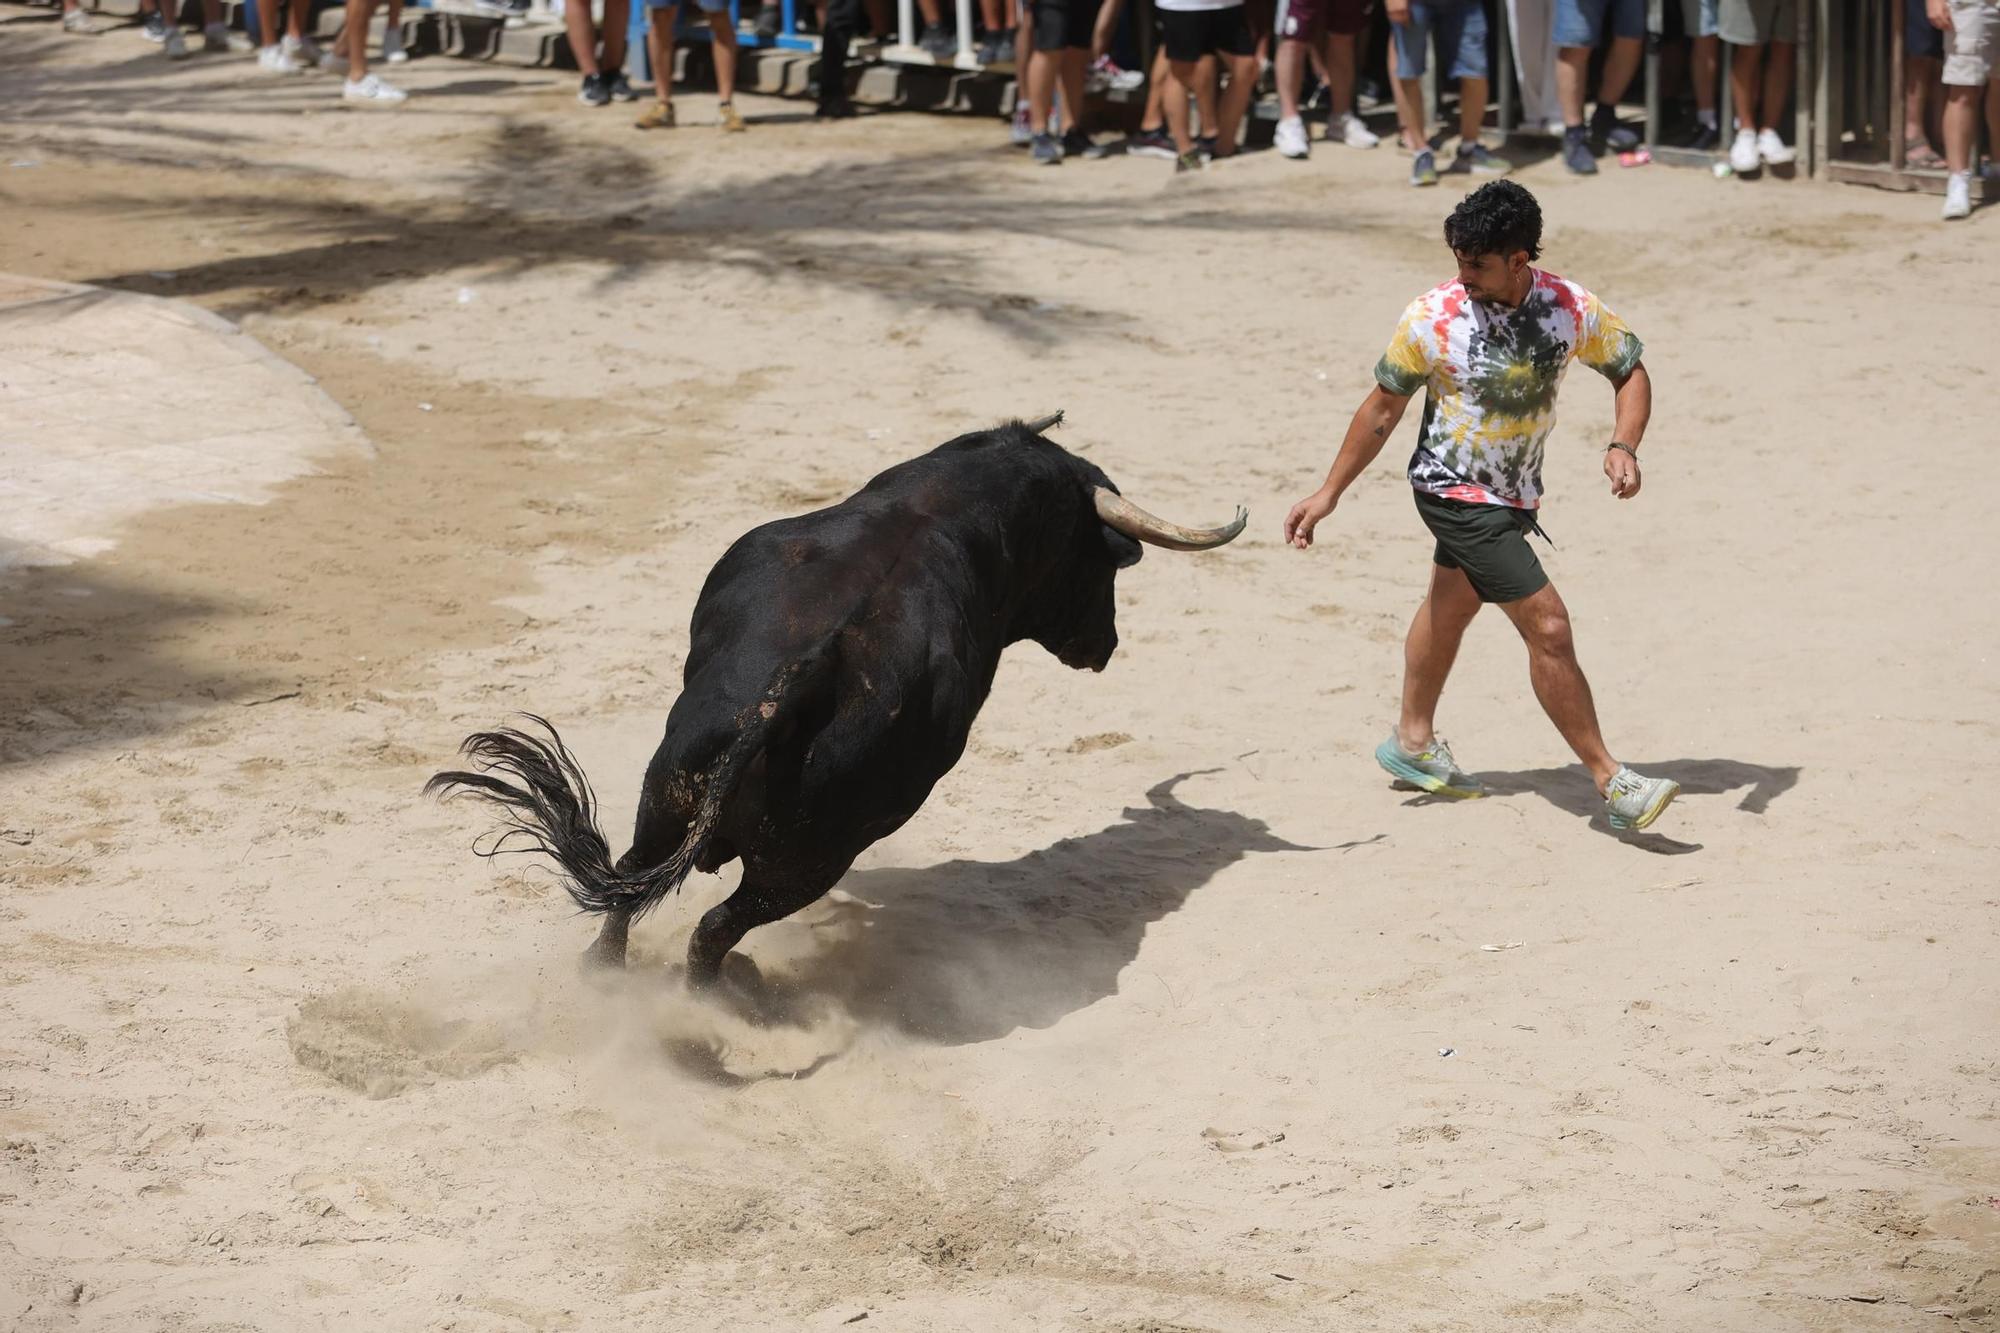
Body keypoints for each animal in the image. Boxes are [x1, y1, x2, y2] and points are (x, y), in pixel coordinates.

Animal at [428, 416, 1240, 984]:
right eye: (1098, 562)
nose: (1106, 645)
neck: (944, 510)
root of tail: (801, 684)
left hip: (670, 790)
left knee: (629, 887)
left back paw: (609, 977)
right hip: (813, 859)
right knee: (714, 929)